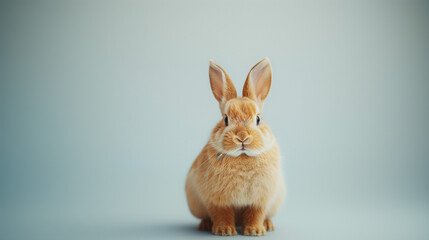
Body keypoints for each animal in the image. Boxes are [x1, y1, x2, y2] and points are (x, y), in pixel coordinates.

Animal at [184, 58, 284, 236]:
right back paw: (205, 225)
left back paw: (268, 224)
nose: (242, 137)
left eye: (258, 119)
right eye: (225, 120)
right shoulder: (217, 200)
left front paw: (255, 231)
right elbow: (222, 214)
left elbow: (255, 214)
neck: (242, 157)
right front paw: (225, 231)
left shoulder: (259, 200)